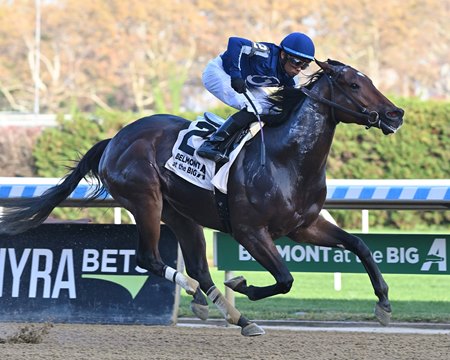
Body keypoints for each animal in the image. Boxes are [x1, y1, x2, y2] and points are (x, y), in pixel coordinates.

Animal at [0, 57, 402, 336]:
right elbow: (286, 278)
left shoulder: (304, 226)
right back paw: (201, 295)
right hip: (146, 201)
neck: (286, 159)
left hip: (181, 213)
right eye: (353, 84)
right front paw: (243, 284)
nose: (395, 114)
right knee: (151, 258)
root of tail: (115, 138)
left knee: (197, 266)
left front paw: (383, 302)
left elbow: (359, 245)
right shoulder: (250, 231)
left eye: (368, 80)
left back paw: (236, 316)